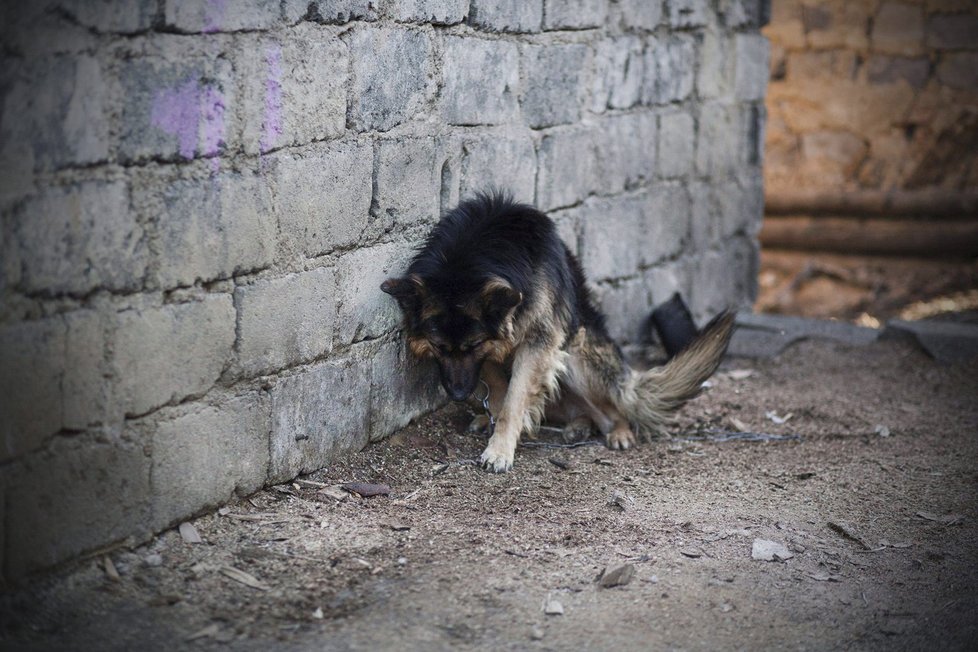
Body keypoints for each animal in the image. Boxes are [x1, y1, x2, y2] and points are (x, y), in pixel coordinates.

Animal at [382, 191, 732, 472]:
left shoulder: (537, 342)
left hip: (575, 355)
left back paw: (618, 432)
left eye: (473, 345)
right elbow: (501, 391)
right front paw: (499, 425)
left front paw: (500, 449)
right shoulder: (495, 349)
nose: (457, 394)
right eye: (439, 347)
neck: (470, 258)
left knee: (613, 409)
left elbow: (514, 400)